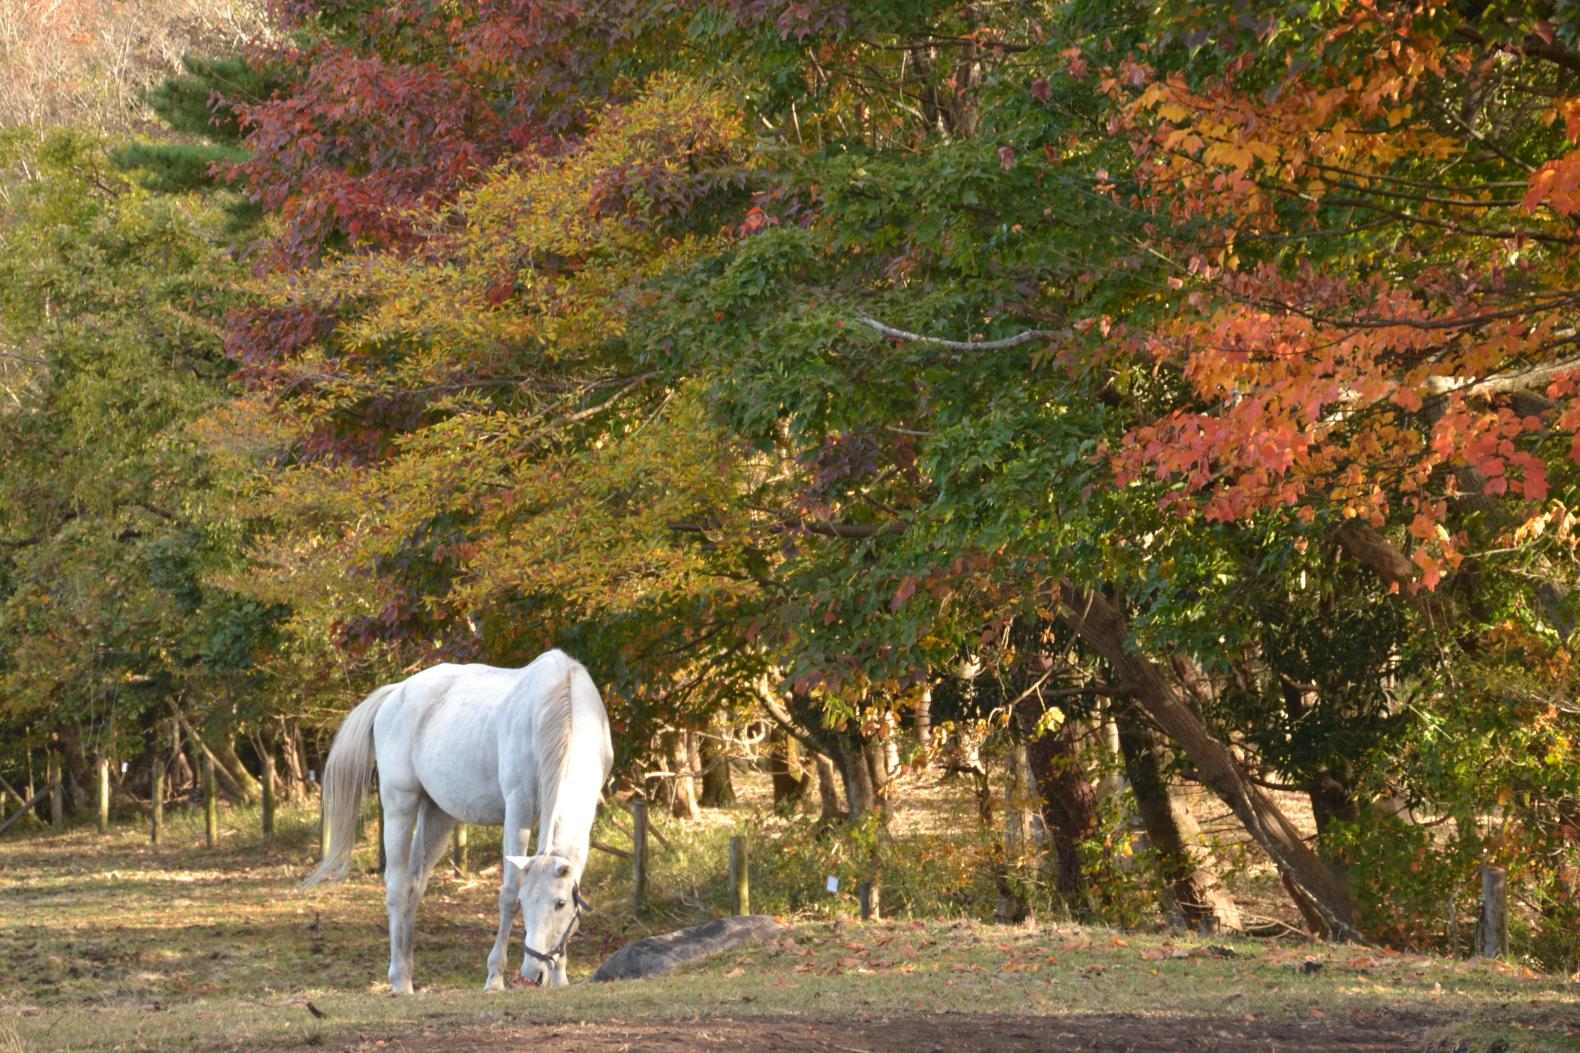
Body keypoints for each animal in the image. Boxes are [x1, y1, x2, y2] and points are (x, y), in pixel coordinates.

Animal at [298, 645, 613, 986]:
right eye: (524, 903)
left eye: (560, 904)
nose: (533, 973)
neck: (560, 706)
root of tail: (395, 693)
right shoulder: (518, 807)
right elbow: (508, 890)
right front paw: (494, 978)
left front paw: (560, 977)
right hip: (400, 805)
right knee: (397, 886)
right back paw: (398, 979)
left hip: (437, 815)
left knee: (415, 885)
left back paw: (407, 974)